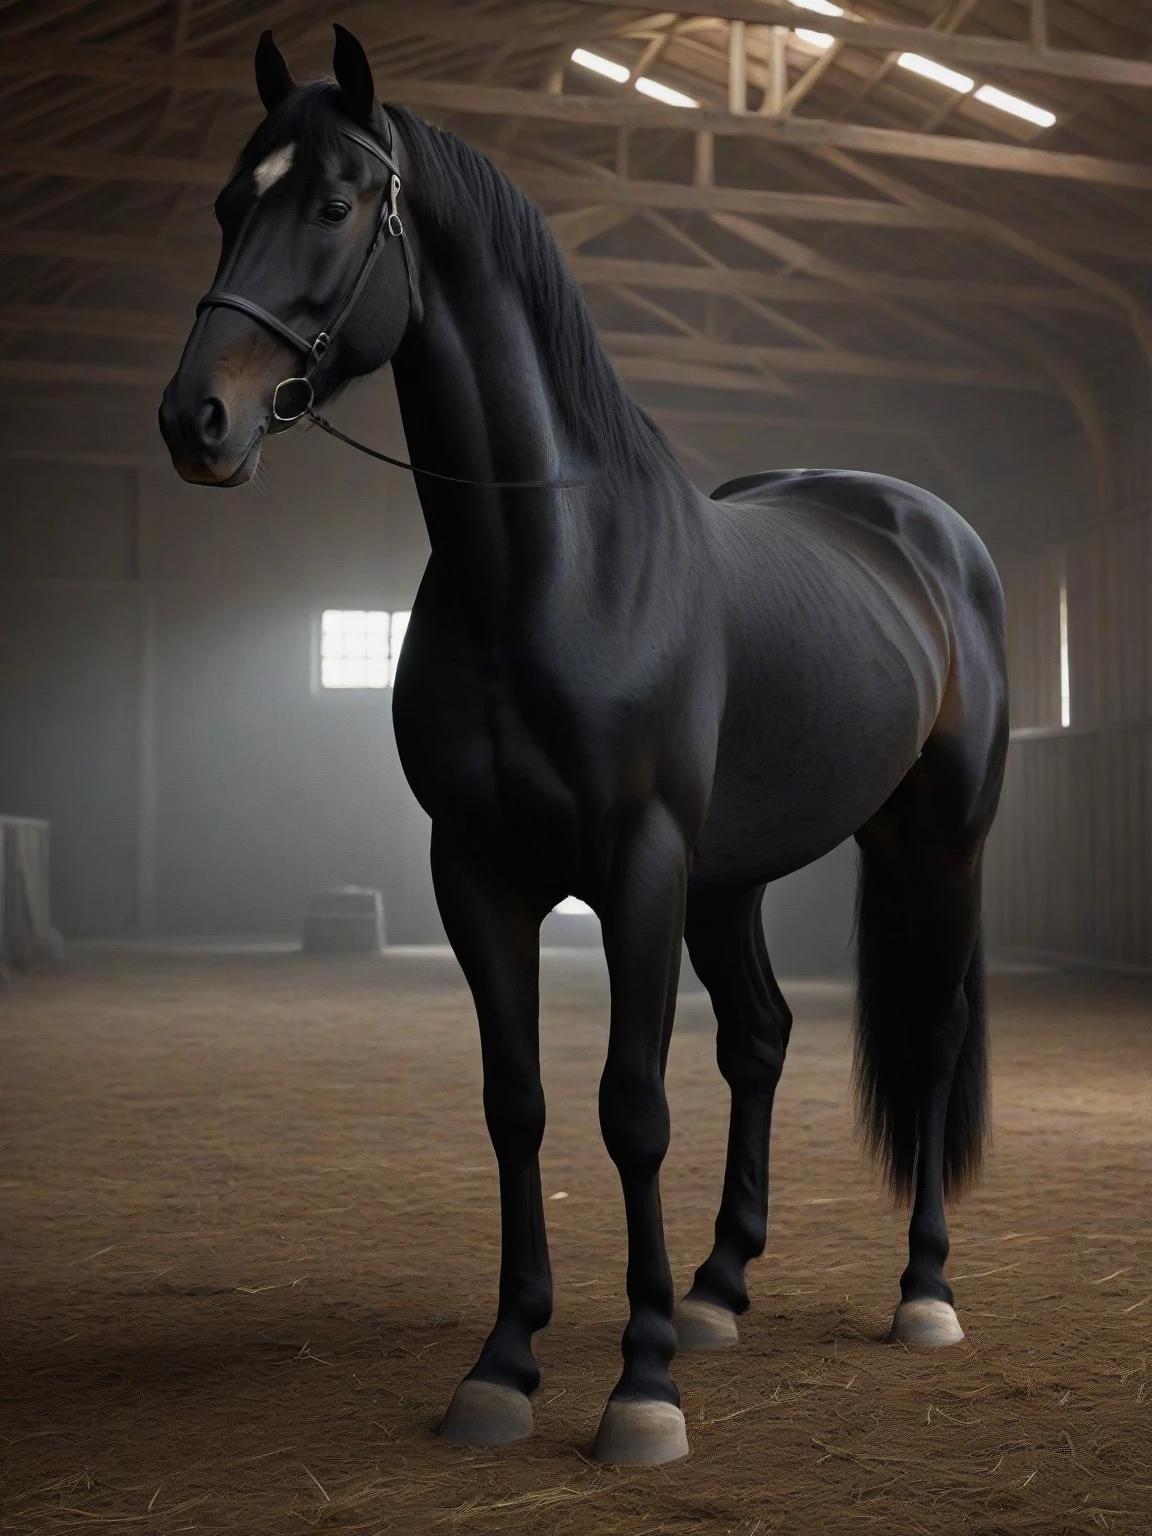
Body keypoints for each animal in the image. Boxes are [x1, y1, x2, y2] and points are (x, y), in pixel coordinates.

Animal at [159, 26, 1009, 1466]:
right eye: (227, 205)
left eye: (333, 202)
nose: (194, 421)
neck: (548, 568)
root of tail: (929, 529)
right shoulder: (477, 874)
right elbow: (519, 1104)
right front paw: (505, 1366)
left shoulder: (641, 869)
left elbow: (631, 1106)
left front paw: (642, 1386)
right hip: (737, 878)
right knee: (763, 1037)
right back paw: (723, 1290)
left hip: (935, 844)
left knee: (932, 1041)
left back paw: (924, 1294)